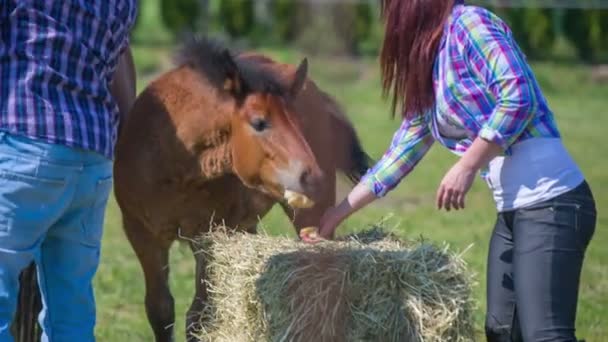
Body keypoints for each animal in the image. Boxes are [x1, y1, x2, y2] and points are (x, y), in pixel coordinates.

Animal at [113, 37, 370, 342]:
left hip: (309, 216)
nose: (313, 177)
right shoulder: (142, 235)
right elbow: (160, 310)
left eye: (299, 122)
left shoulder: (209, 237)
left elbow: (198, 316)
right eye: (259, 122)